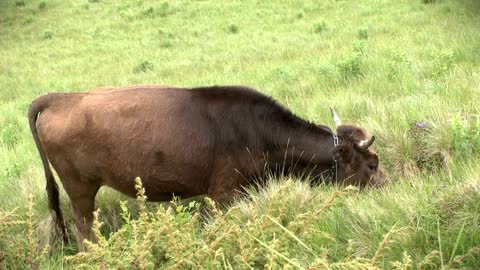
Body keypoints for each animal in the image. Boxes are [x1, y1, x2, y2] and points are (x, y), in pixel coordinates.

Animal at [29, 85, 382, 248]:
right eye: (372, 164)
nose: (384, 186)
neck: (258, 132)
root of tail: (60, 98)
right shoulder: (223, 194)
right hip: (80, 189)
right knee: (84, 226)